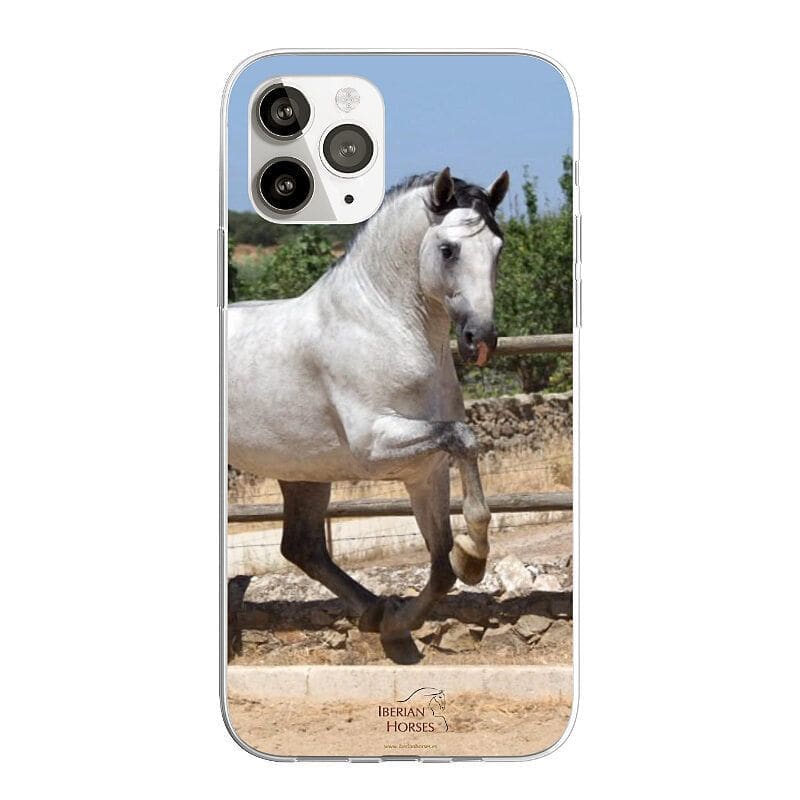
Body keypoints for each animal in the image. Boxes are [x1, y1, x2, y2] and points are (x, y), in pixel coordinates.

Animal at [227, 167, 509, 661]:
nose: (481, 339)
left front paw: (399, 623)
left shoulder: (424, 471)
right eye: (448, 249)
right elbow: (464, 436)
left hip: (303, 473)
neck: (383, 326)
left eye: (499, 248)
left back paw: (375, 611)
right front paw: (474, 554)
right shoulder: (375, 448)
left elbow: (441, 567)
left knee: (303, 548)